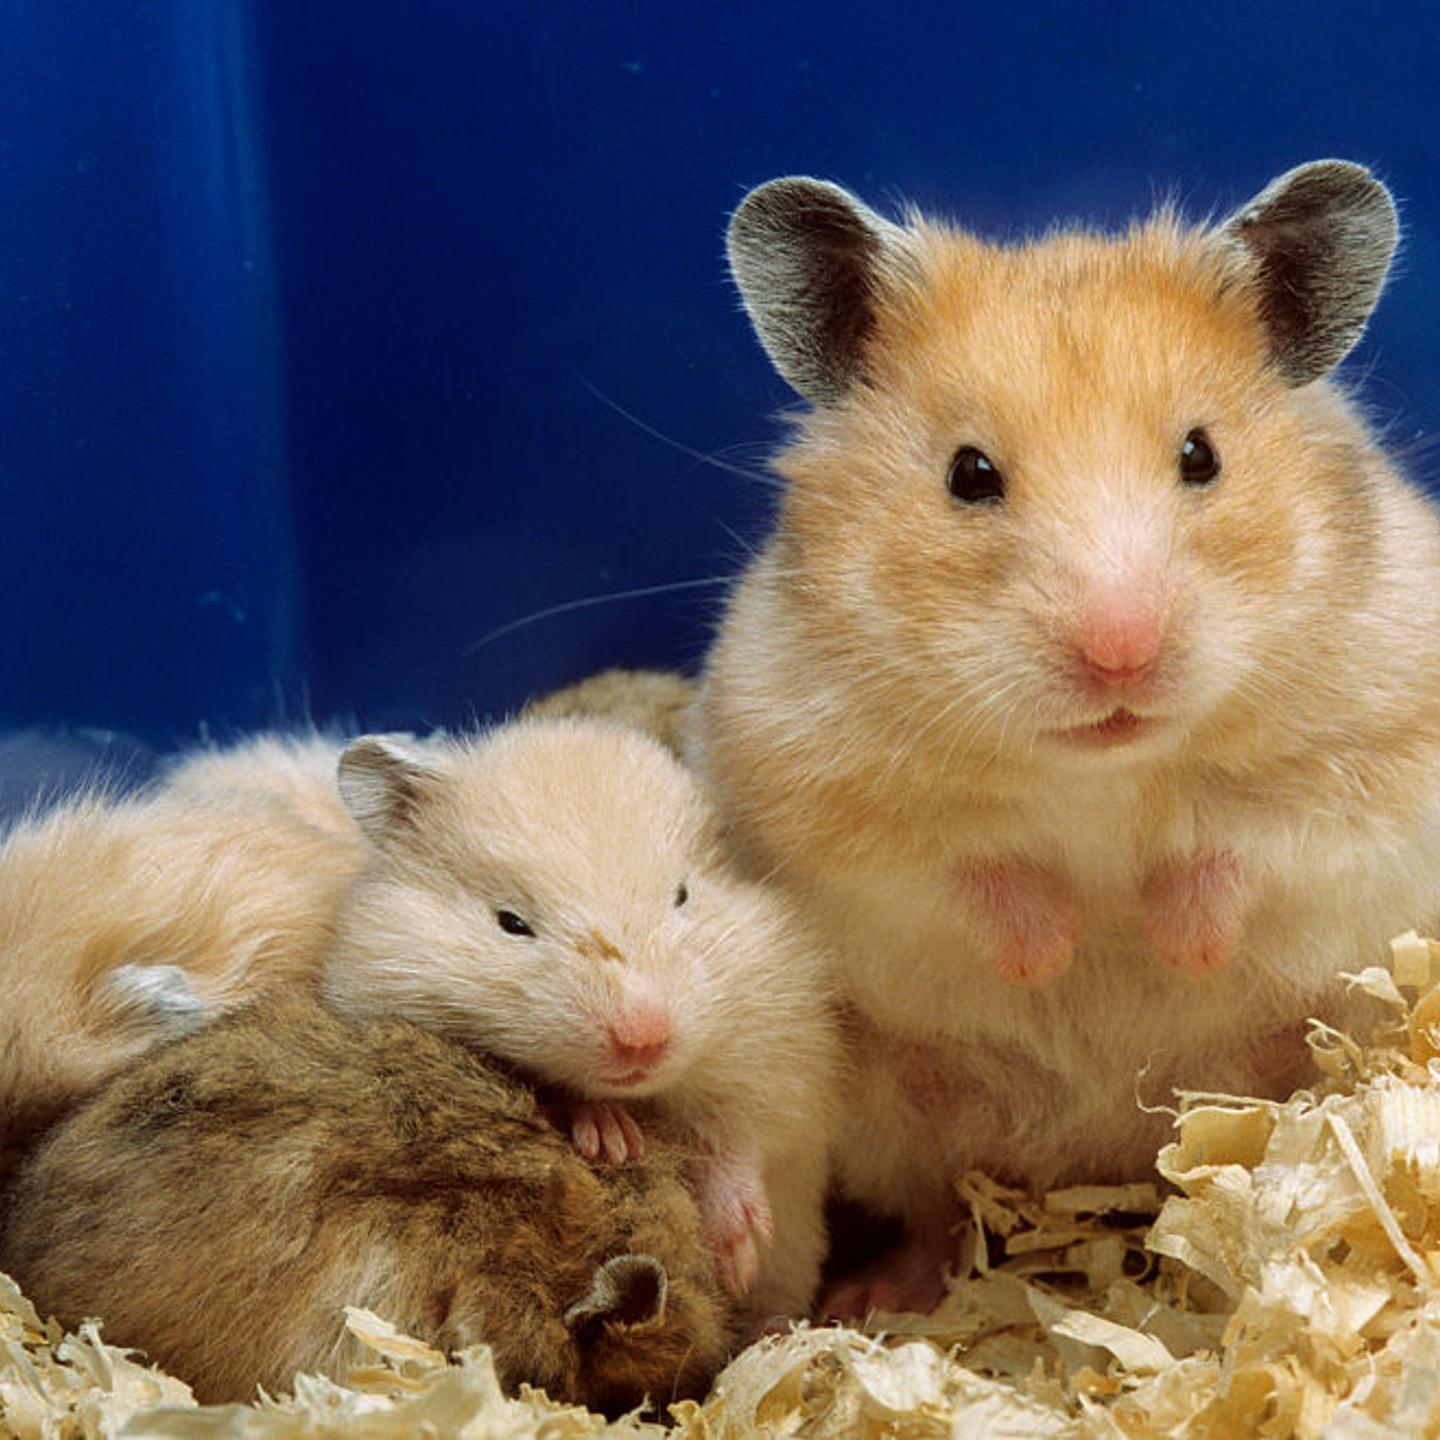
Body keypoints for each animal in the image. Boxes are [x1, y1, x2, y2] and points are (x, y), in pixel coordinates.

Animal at [320, 716, 841, 1326]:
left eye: (683, 896)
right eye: (511, 922)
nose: (644, 1039)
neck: (647, 1091)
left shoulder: (777, 1050)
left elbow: (740, 1140)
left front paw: (740, 1254)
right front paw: (610, 1140)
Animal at [689, 160, 1440, 1311]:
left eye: (1201, 456)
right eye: (968, 474)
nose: (1119, 654)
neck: (1107, 772)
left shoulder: (1372, 756)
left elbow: (1247, 838)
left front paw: (1175, 947)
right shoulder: (817, 789)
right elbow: (970, 869)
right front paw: (1057, 958)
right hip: (895, 1119)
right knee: (937, 1211)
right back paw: (880, 1297)